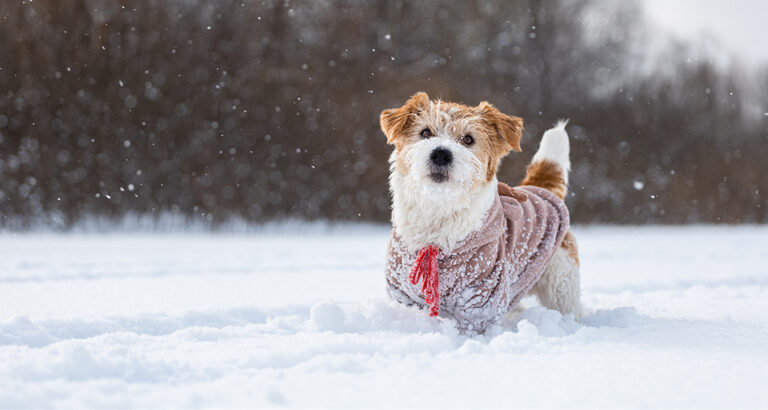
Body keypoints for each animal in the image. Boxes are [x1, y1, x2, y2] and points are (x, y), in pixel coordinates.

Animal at [380, 92, 580, 334]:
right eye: (425, 132)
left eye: (468, 139)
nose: (441, 154)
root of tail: (539, 189)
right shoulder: (405, 293)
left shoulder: (483, 298)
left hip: (561, 285)